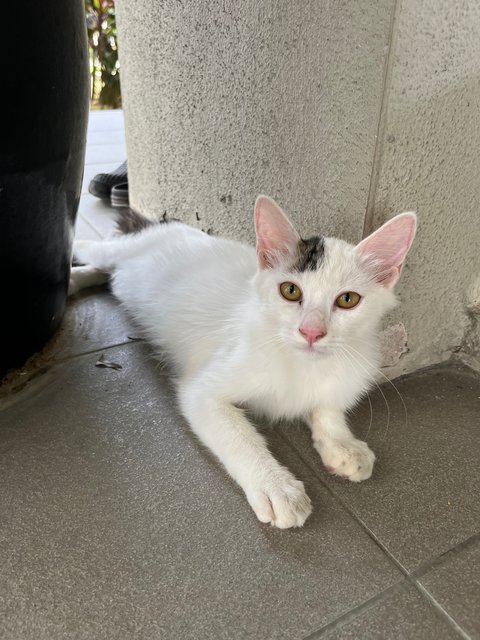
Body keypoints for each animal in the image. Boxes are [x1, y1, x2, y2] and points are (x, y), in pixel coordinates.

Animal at [69, 198, 414, 528]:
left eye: (347, 300)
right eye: (290, 291)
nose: (311, 332)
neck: (301, 363)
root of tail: (166, 225)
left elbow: (327, 408)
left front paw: (343, 444)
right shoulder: (203, 390)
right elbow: (238, 437)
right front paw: (276, 486)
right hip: (123, 248)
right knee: (94, 248)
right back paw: (71, 272)